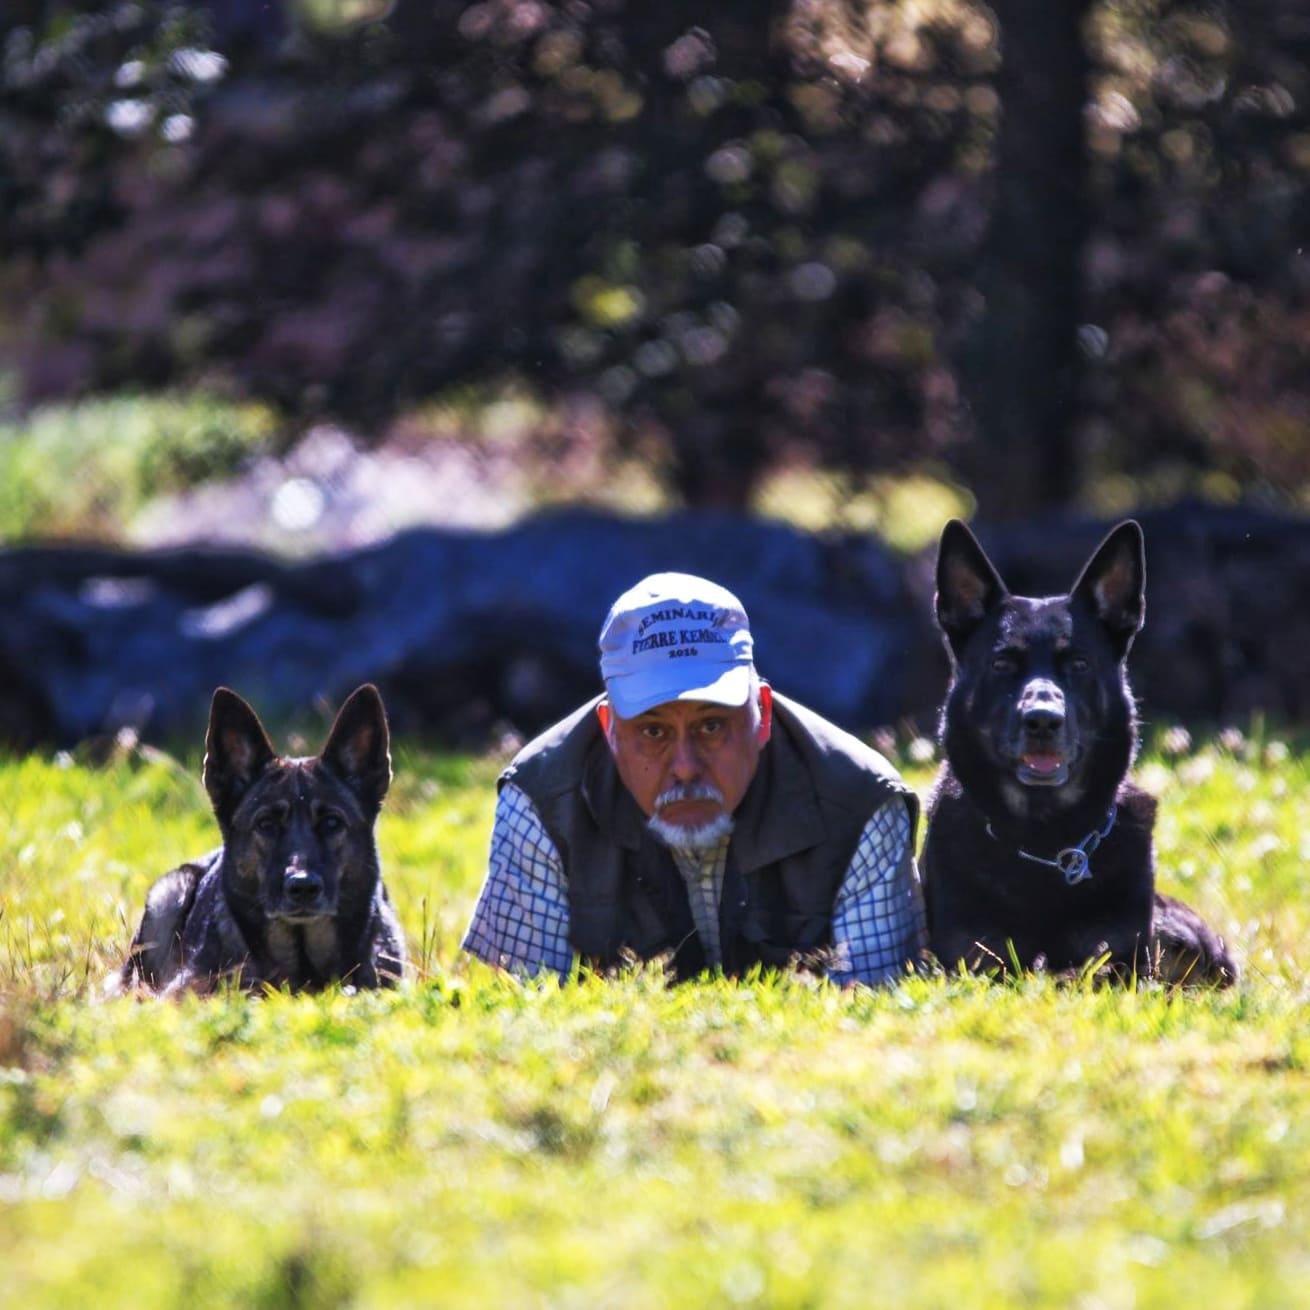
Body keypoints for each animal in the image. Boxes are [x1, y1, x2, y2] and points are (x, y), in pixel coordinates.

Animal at [922, 516, 1236, 985]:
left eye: (1079, 664)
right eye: (1002, 664)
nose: (1042, 720)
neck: (1044, 842)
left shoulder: (1124, 961)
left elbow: (1081, 972)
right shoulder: (973, 958)